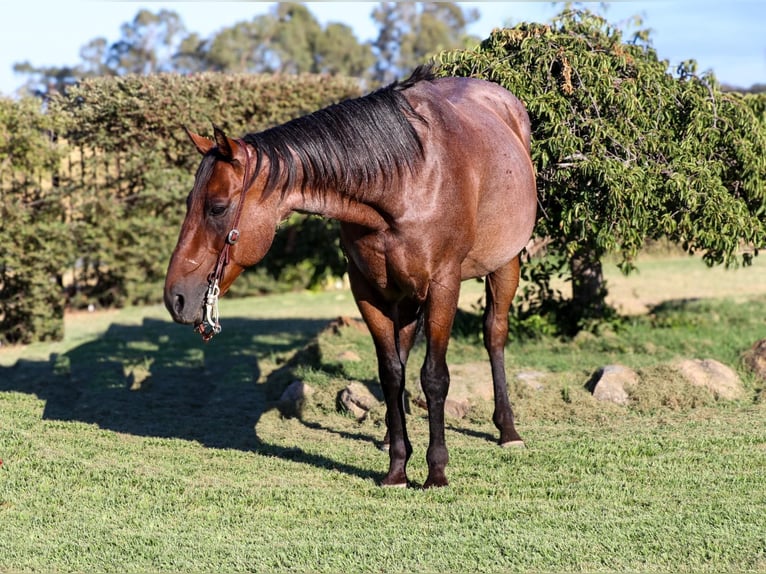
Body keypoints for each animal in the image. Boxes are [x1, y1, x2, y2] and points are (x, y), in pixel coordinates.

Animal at [164, 65, 537, 488]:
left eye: (217, 207)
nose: (175, 297)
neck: (405, 180)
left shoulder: (444, 285)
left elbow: (434, 376)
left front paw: (436, 470)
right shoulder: (367, 290)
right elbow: (391, 373)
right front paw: (397, 467)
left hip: (505, 264)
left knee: (494, 334)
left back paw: (508, 430)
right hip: (405, 294)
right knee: (404, 352)